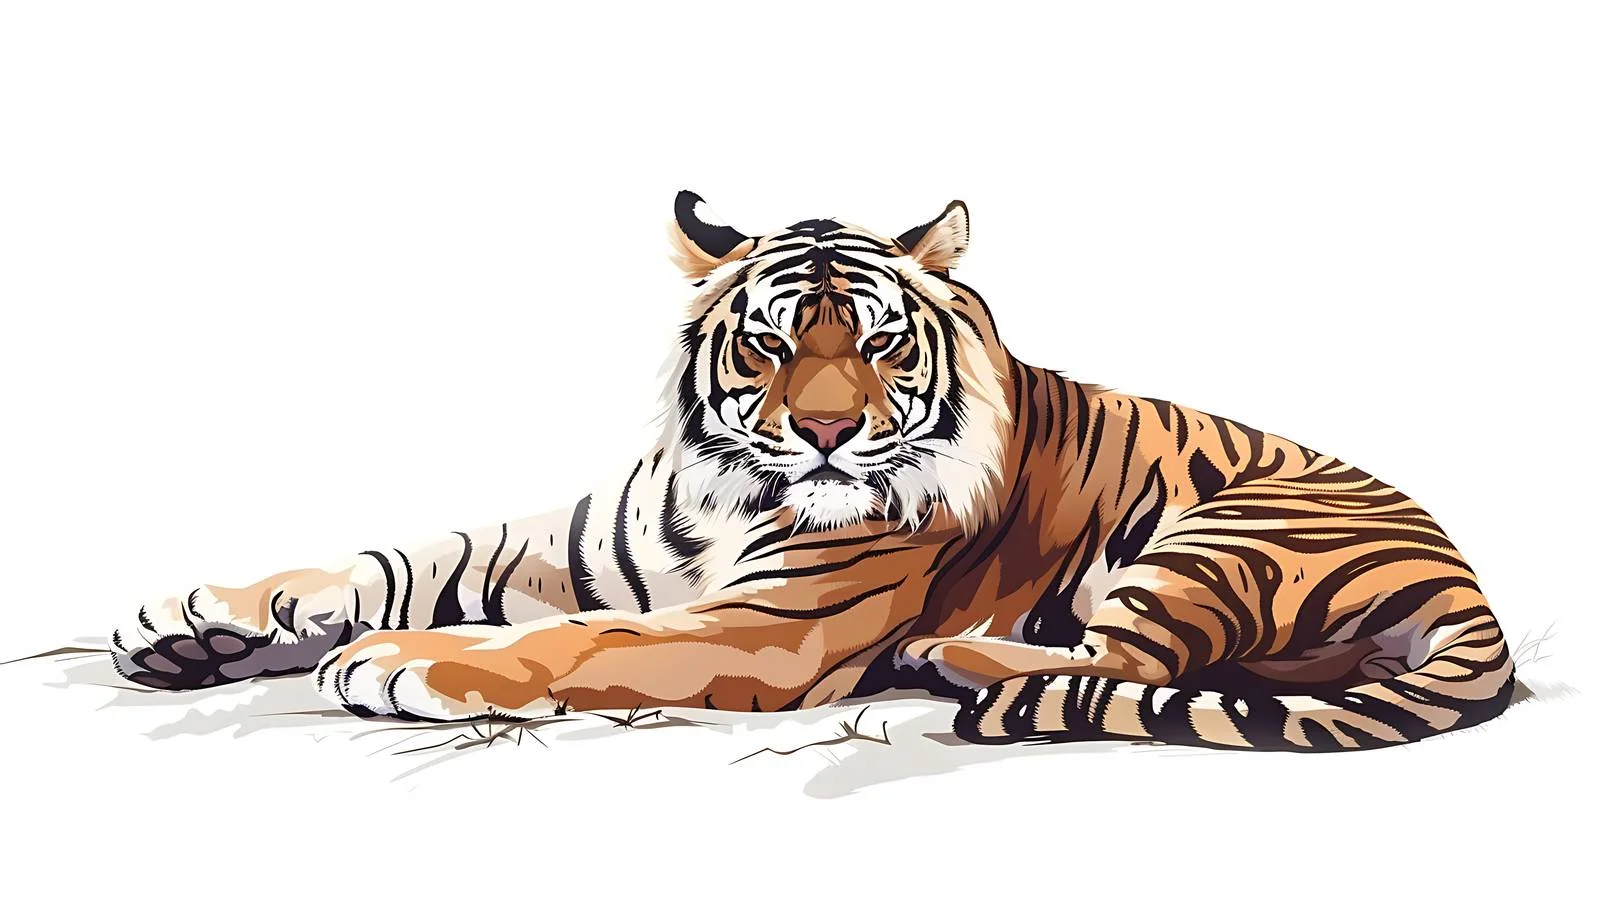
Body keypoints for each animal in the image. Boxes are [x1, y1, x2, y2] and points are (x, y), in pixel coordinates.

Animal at [108, 192, 1516, 751]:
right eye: (774, 344)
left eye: (882, 345)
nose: (831, 433)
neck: (720, 492)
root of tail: (1467, 585)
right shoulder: (568, 544)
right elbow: (401, 552)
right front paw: (195, 620)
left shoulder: (770, 625)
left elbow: (579, 643)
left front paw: (402, 662)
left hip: (1219, 533)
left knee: (1131, 662)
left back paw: (951, 662)